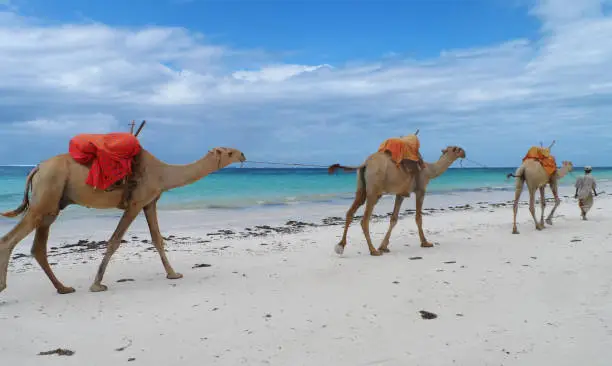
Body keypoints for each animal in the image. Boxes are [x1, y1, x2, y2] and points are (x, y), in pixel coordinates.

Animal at [330, 144, 464, 256]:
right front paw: (425, 242)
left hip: (361, 187)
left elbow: (394, 219)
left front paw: (383, 246)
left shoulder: (400, 194)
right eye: (456, 149)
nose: (464, 152)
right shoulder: (420, 190)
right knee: (364, 220)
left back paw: (341, 246)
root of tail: (365, 164)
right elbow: (418, 217)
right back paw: (373, 250)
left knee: (350, 212)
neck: (429, 170)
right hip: (374, 190)